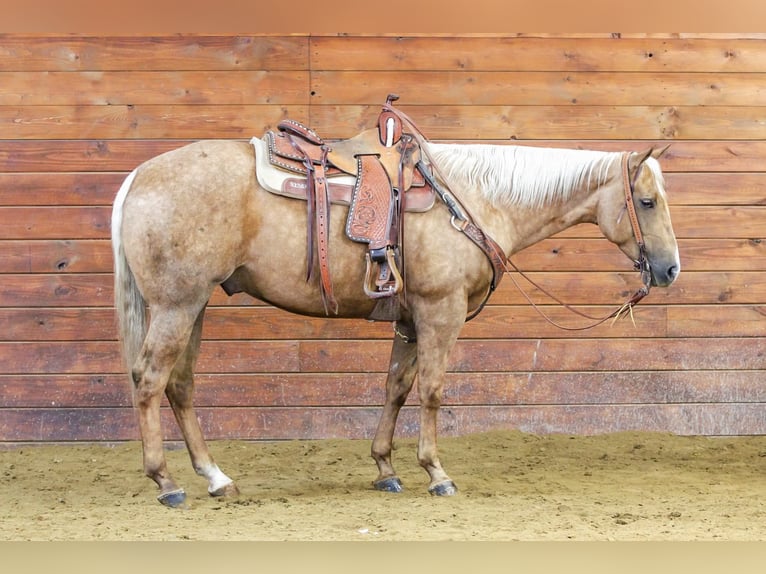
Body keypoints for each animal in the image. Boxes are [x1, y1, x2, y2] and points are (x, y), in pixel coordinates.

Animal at [111, 127, 680, 507]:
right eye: (647, 202)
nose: (671, 269)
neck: (472, 199)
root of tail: (138, 176)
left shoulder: (408, 321)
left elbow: (396, 388)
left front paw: (385, 467)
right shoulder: (440, 311)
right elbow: (431, 391)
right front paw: (436, 472)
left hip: (195, 305)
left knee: (180, 385)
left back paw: (215, 477)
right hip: (178, 305)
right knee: (150, 381)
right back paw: (167, 482)